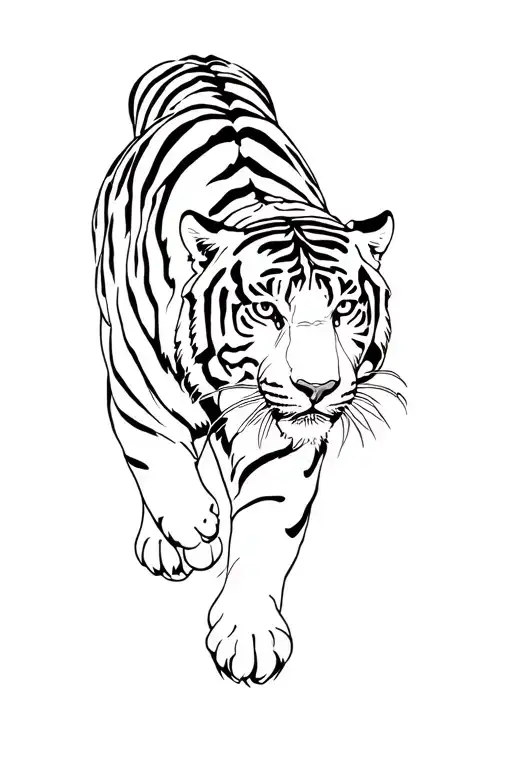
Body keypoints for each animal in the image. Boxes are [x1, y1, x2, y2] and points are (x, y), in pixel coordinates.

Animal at [92, 54, 404, 685]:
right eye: (266, 311)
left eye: (344, 309)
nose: (317, 388)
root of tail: (199, 63)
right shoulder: (138, 397)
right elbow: (156, 459)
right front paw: (193, 525)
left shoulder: (279, 446)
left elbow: (266, 527)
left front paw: (249, 634)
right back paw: (169, 542)